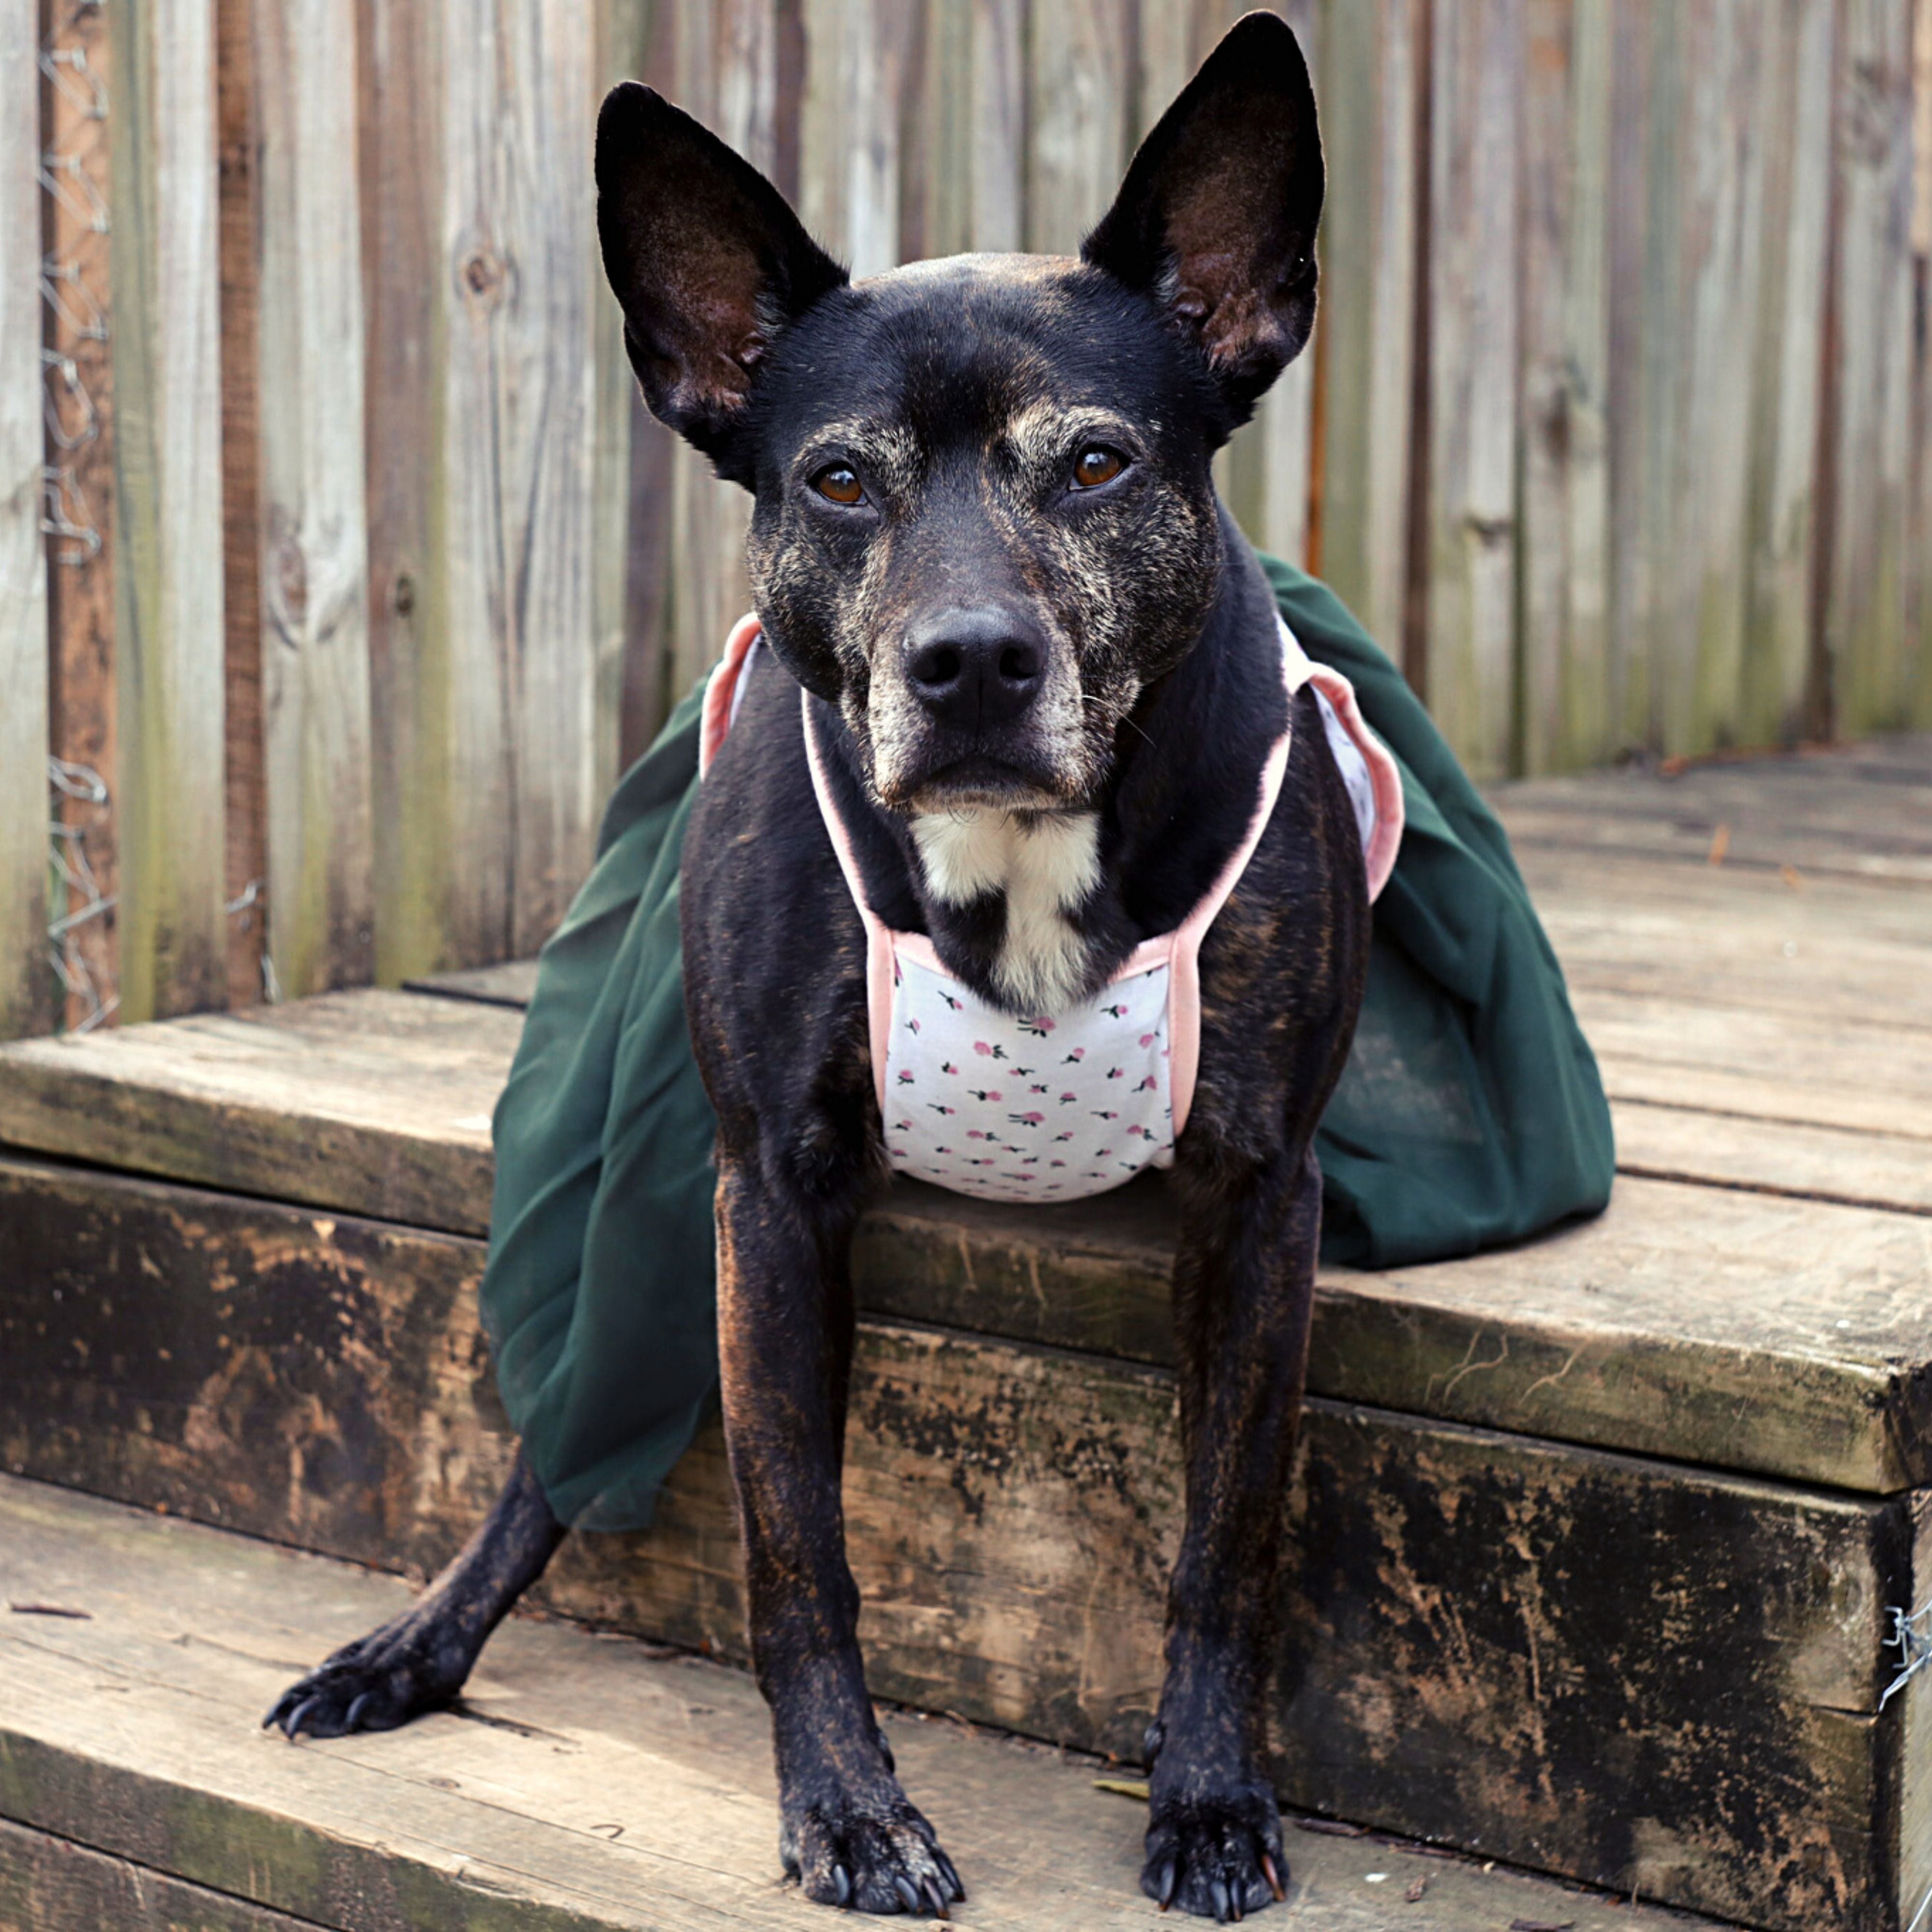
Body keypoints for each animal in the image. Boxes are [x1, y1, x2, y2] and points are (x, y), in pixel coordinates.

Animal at [269, 15, 1376, 1917]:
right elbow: (797, 1547)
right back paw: (409, 1647)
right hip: (652, 1206)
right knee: (547, 1449)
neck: (1016, 852)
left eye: (1099, 464)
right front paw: (850, 1810)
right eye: (837, 480)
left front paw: (1211, 1795)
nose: (971, 664)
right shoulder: (767, 1199)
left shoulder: (1258, 1200)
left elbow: (1224, 1537)